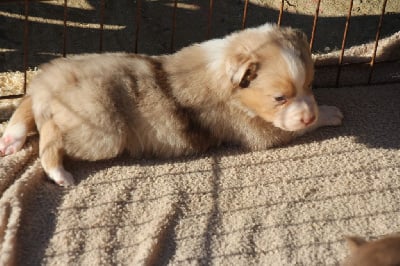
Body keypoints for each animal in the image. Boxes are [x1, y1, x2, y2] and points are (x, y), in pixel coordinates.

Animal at [0, 22, 344, 186]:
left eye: (310, 84)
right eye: (279, 98)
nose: (309, 113)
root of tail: (51, 81)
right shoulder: (260, 132)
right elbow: (296, 127)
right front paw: (331, 113)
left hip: (50, 95)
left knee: (27, 104)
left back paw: (11, 139)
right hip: (102, 134)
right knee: (50, 134)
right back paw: (58, 173)